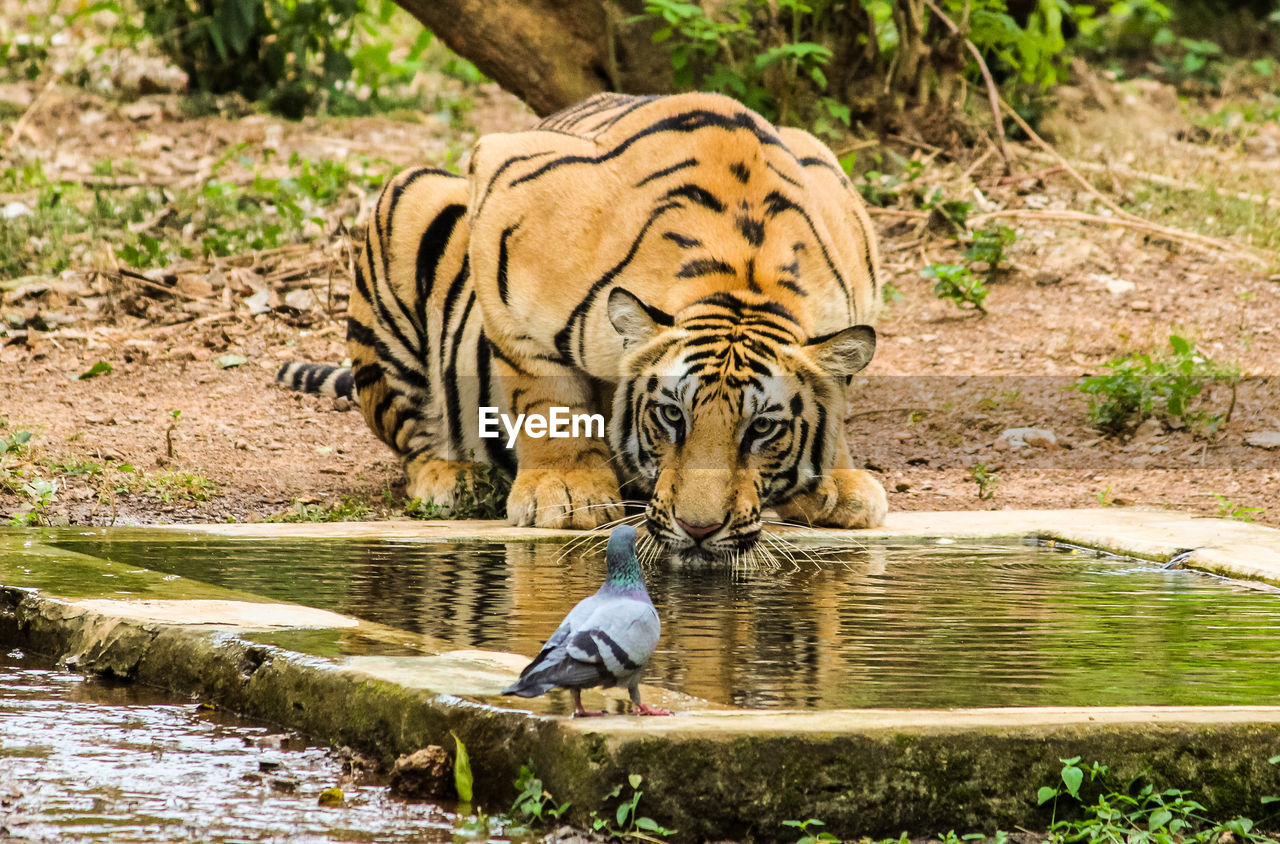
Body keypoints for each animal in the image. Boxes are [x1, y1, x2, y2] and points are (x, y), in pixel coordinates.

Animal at [275, 90, 885, 560]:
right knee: (414, 435)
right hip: (413, 202)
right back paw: (455, 478)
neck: (743, 278)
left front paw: (836, 482)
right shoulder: (504, 206)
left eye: (762, 429)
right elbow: (545, 394)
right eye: (671, 415)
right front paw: (565, 491)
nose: (698, 530)